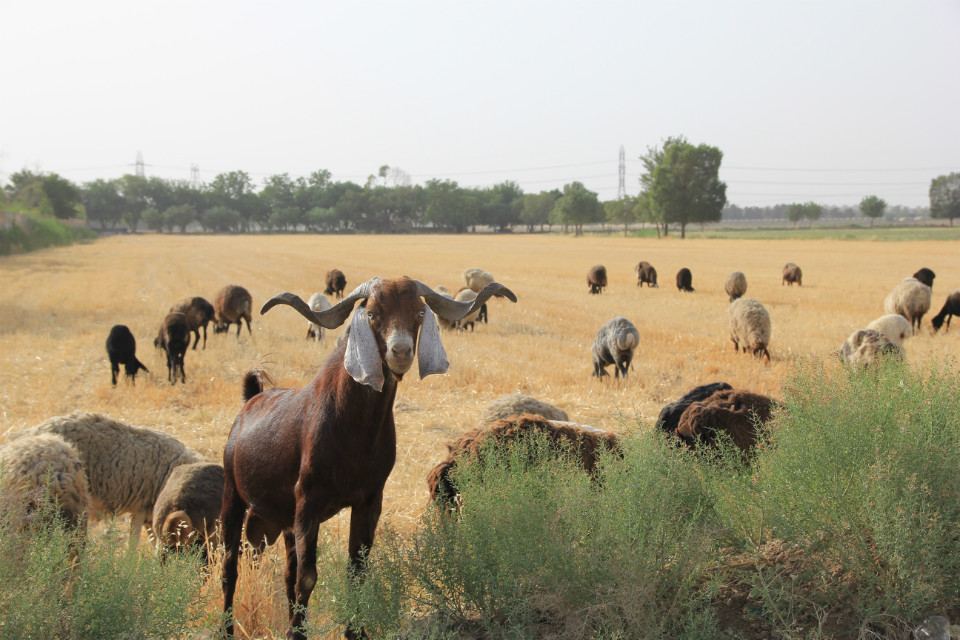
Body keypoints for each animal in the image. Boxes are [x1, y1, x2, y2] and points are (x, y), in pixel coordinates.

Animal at [219, 276, 516, 640]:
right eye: (372, 314)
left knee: (287, 574)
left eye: (419, 311)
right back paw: (226, 629)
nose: (400, 351)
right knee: (230, 569)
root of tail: (250, 400)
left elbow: (356, 572)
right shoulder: (308, 504)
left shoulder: (369, 501)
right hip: (233, 497)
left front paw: (354, 631)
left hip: (285, 519)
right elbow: (308, 577)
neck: (353, 427)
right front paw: (299, 633)